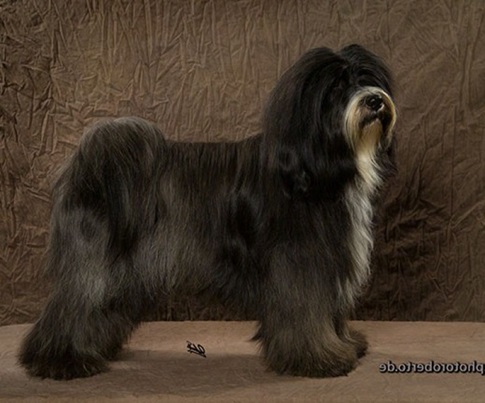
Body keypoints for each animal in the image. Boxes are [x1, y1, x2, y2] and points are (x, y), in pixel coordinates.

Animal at [19, 44, 397, 380]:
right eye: (337, 88)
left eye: (366, 78)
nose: (374, 100)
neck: (316, 166)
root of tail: (90, 166)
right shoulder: (300, 266)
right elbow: (306, 313)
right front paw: (320, 359)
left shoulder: (331, 262)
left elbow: (331, 311)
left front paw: (346, 344)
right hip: (95, 261)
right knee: (74, 305)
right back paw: (61, 360)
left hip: (127, 273)